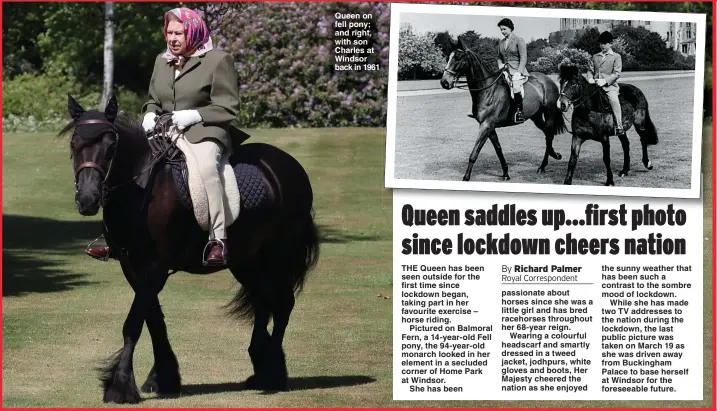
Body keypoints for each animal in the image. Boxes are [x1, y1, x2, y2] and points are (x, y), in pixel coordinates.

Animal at [61, 96, 318, 406]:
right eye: (74, 144)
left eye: (111, 147)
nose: (88, 200)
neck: (141, 188)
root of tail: (290, 166)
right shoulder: (132, 267)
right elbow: (153, 320)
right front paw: (162, 378)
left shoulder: (155, 267)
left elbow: (133, 323)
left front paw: (120, 386)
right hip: (247, 260)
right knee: (263, 301)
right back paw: (261, 366)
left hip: (279, 254)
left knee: (282, 305)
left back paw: (273, 375)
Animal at [436, 37, 564, 182]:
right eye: (448, 57)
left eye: (458, 58)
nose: (444, 82)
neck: (487, 89)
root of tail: (548, 80)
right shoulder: (489, 127)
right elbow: (498, 149)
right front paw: (506, 173)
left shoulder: (486, 125)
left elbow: (475, 152)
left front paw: (466, 177)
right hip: (535, 116)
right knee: (547, 133)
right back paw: (553, 156)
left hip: (549, 113)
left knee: (549, 134)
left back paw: (543, 165)